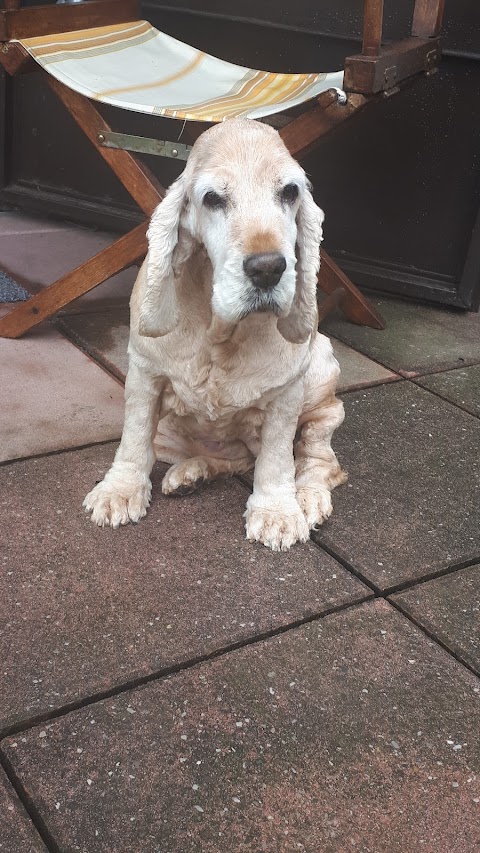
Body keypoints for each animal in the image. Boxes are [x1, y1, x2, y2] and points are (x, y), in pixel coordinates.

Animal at [83, 116, 344, 548]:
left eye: (290, 191)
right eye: (212, 199)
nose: (268, 269)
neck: (221, 334)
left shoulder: (286, 394)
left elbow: (277, 459)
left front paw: (277, 512)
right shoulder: (144, 374)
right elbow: (134, 438)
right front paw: (120, 491)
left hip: (322, 375)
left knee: (318, 455)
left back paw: (307, 496)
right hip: (172, 433)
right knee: (234, 459)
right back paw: (190, 475)